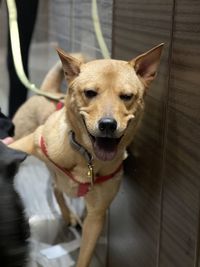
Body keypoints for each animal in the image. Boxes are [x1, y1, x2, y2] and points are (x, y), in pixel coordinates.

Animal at [9, 44, 164, 267]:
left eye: (127, 96)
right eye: (90, 93)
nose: (107, 125)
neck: (86, 158)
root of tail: (48, 92)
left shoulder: (96, 217)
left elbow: (85, 255)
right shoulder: (29, 143)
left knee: (56, 188)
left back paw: (68, 215)